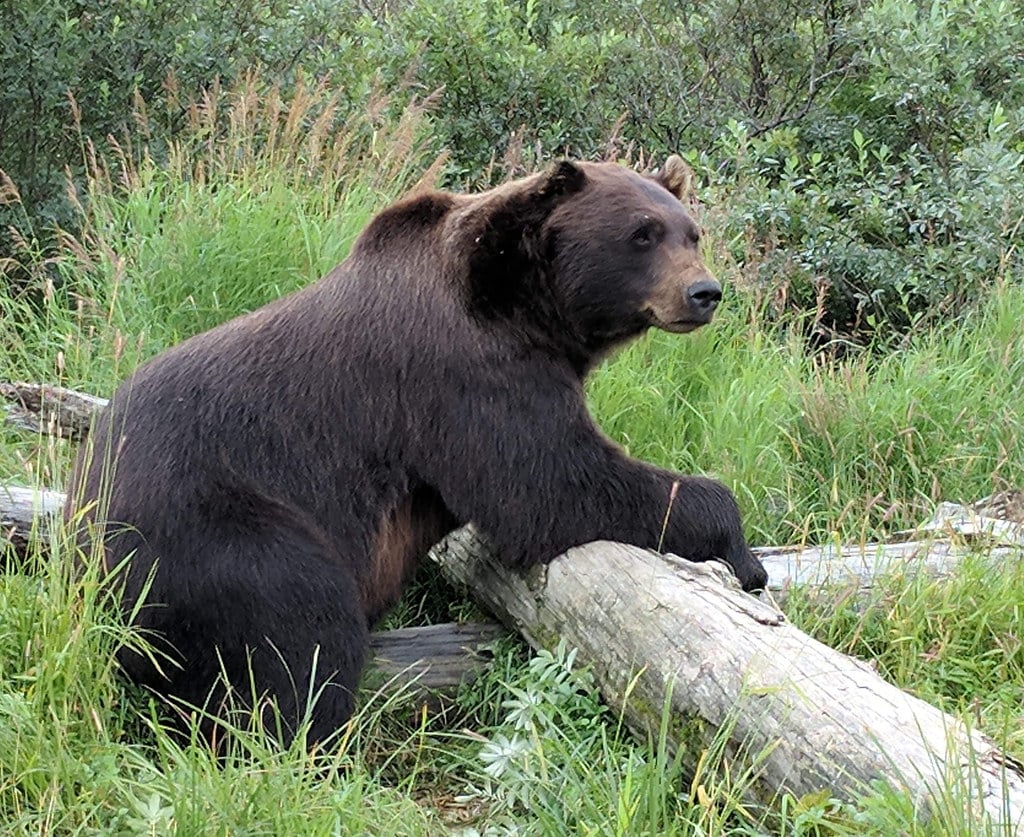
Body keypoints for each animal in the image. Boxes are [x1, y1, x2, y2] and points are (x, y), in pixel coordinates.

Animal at [66, 156, 768, 746]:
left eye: (692, 232)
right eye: (642, 234)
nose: (704, 292)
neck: (528, 307)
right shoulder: (464, 371)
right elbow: (547, 487)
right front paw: (740, 547)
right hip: (212, 532)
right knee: (297, 630)